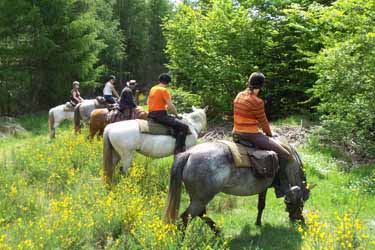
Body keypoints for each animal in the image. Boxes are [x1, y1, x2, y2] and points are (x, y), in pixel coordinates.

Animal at [164, 140, 312, 231]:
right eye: (301, 204)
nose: (300, 222)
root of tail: (188, 153)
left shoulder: (263, 188)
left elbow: (261, 205)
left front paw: (258, 223)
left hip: (198, 198)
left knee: (201, 214)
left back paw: (218, 232)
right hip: (201, 199)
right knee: (185, 219)